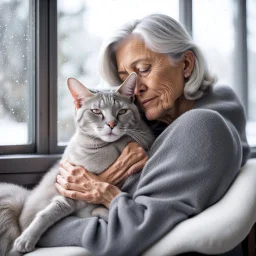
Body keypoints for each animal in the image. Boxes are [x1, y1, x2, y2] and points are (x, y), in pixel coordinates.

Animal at [0, 72, 154, 256]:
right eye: (96, 111)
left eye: (122, 111)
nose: (111, 124)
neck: (108, 148)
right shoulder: (69, 192)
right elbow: (49, 212)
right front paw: (26, 238)